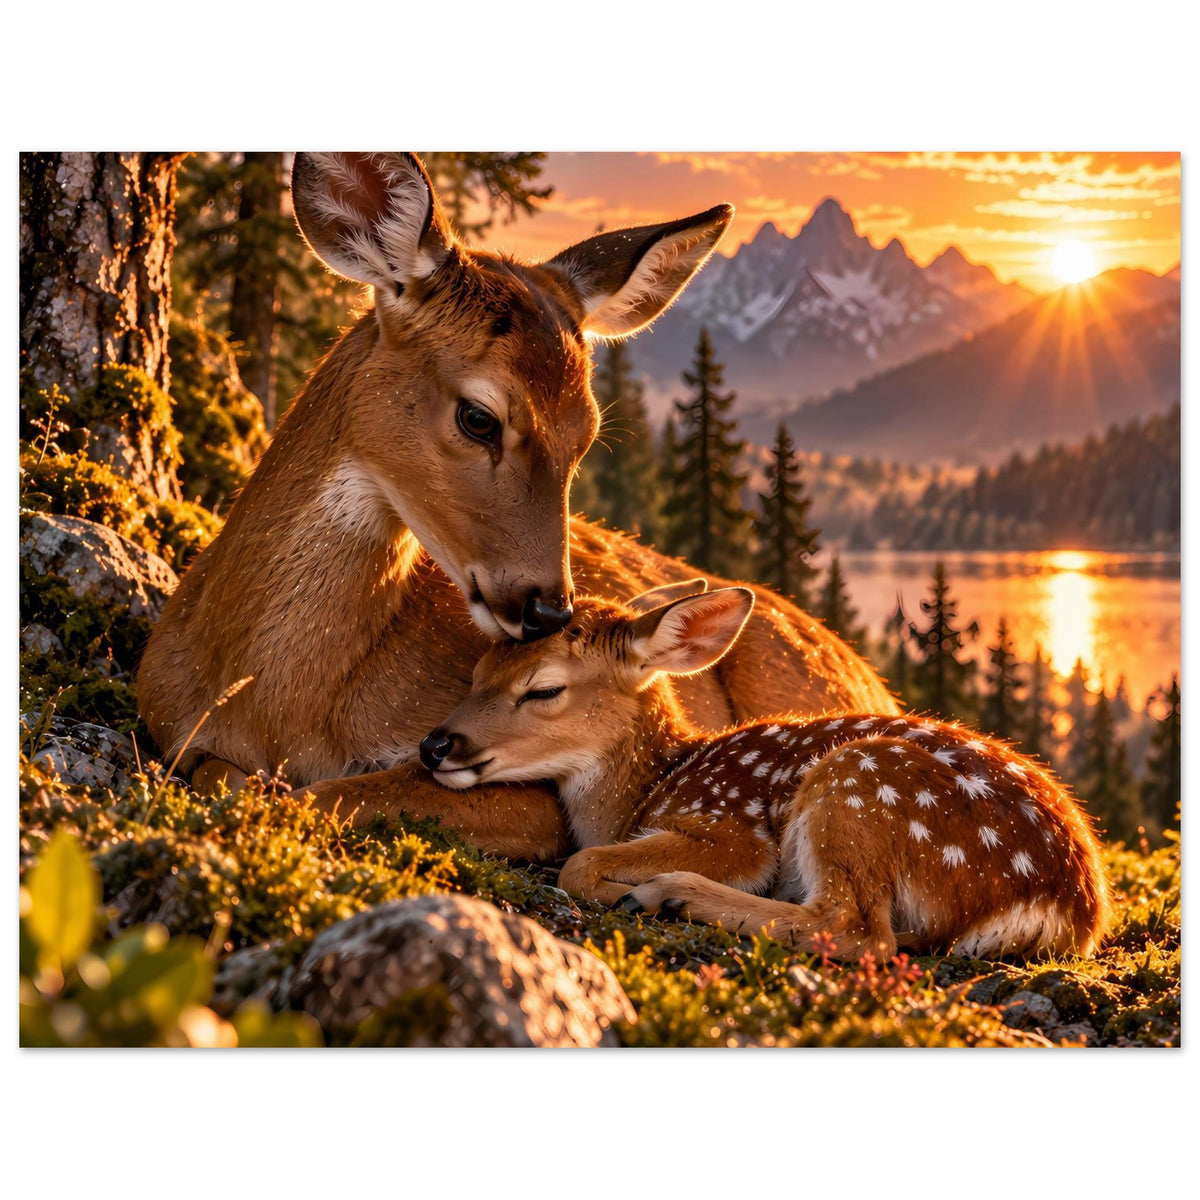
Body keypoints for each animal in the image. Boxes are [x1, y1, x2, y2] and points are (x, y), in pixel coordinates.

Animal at [138, 152, 898, 864]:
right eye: (479, 417)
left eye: (587, 434)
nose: (548, 609)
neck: (269, 702)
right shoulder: (167, 720)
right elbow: (223, 774)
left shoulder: (530, 794)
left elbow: (329, 792)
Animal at [422, 582, 1111, 961]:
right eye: (479, 669)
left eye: (543, 689)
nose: (434, 745)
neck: (647, 788)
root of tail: (1067, 909)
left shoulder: (730, 827)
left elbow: (580, 862)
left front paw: (627, 887)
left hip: (858, 785)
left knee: (857, 929)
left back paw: (671, 895)